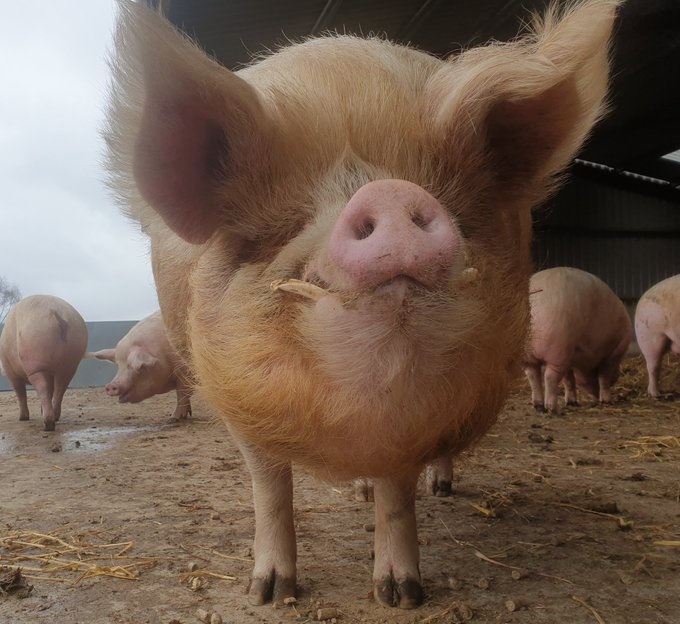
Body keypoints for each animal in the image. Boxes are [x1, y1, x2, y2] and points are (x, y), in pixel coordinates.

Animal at [0, 295, 88, 431]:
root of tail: (58, 315)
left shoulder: (11, 374)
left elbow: (20, 393)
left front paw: (22, 418)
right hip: (71, 363)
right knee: (60, 388)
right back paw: (55, 417)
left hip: (36, 359)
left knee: (43, 388)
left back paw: (48, 424)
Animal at [106, 0, 618, 608]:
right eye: (290, 224)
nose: (391, 192)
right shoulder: (236, 407)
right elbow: (270, 489)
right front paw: (269, 594)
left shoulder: (411, 428)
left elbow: (399, 495)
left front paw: (401, 596)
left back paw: (439, 488)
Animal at [524, 267, 632, 413]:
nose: (617, 375)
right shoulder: (615, 351)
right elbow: (604, 376)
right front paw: (607, 401)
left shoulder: (570, 359)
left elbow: (569, 380)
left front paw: (572, 403)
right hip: (559, 348)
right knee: (549, 377)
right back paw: (552, 409)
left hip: (527, 353)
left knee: (532, 375)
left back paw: (539, 406)